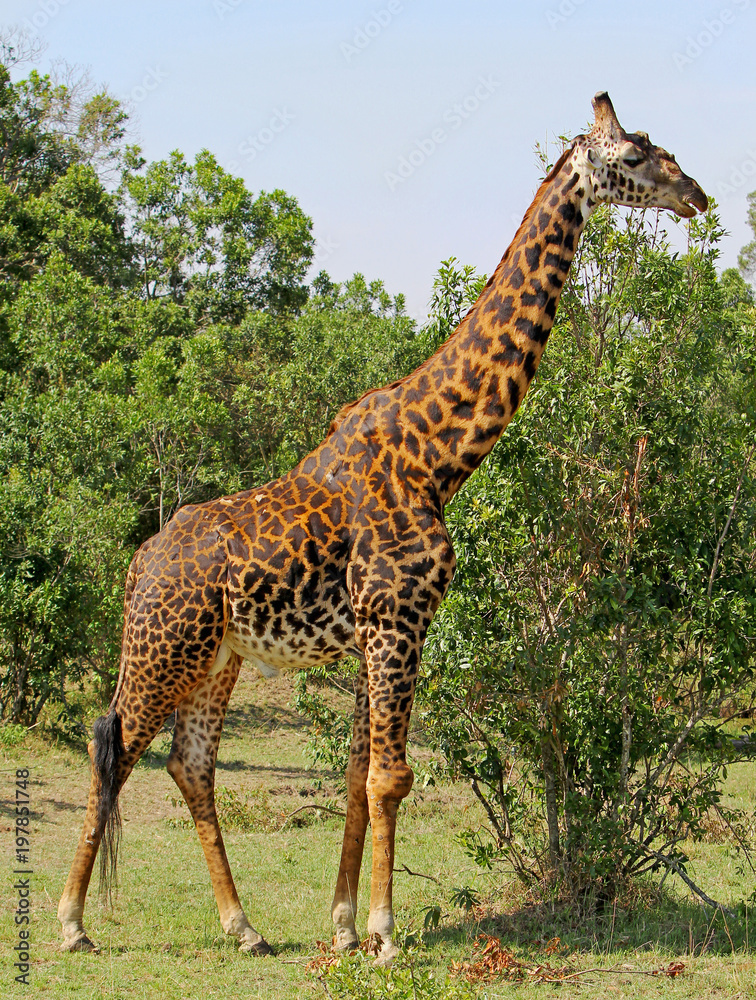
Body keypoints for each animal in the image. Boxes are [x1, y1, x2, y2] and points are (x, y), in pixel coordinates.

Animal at [58, 93, 707, 964]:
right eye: (635, 156)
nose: (695, 195)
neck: (437, 456)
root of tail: (136, 566)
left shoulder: (377, 626)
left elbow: (357, 777)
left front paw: (341, 926)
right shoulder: (398, 617)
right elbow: (390, 777)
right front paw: (385, 934)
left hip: (217, 659)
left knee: (190, 767)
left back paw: (244, 928)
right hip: (165, 647)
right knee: (116, 745)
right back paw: (72, 923)